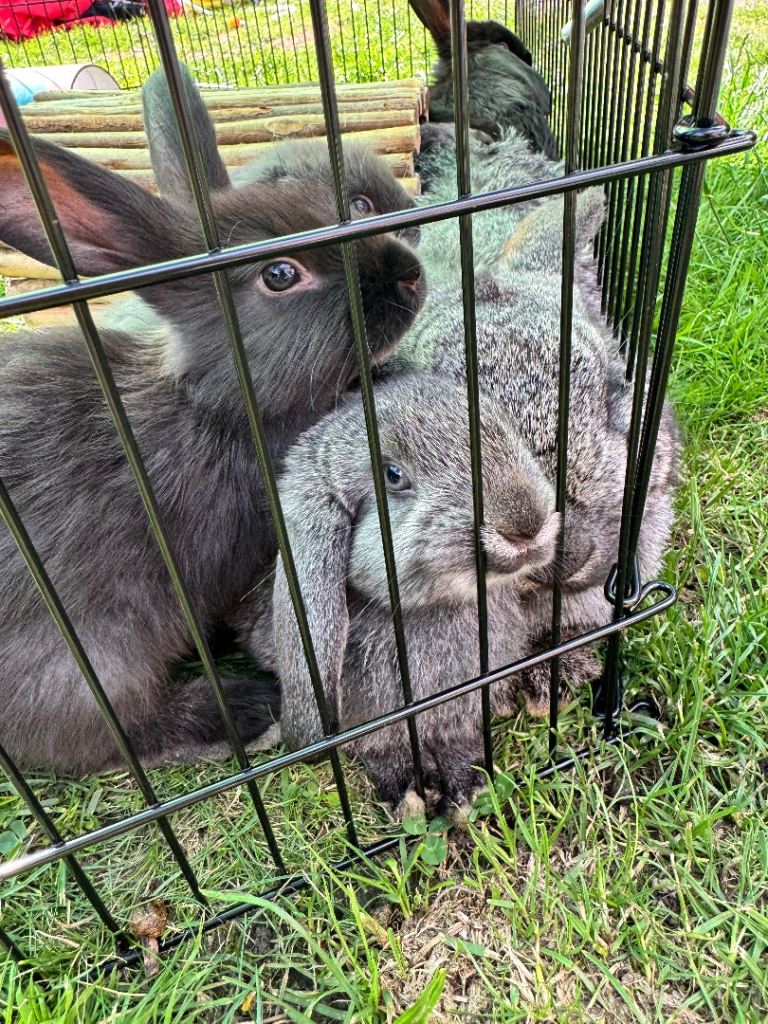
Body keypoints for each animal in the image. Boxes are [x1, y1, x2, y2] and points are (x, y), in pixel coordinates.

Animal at [0, 67, 425, 776]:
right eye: (279, 274)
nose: (411, 276)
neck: (220, 402)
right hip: (88, 662)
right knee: (104, 738)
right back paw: (244, 708)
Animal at [237, 372, 563, 814]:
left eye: (506, 429)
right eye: (393, 475)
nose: (527, 525)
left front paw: (470, 784)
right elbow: (379, 745)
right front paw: (409, 790)